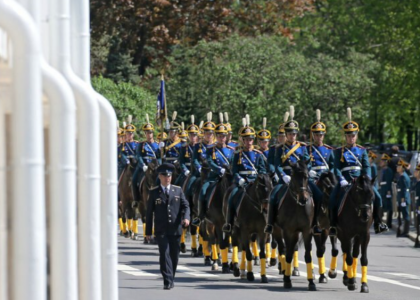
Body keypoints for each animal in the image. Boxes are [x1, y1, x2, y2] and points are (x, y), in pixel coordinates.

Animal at [274, 159, 316, 290]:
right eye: (293, 176)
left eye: (307, 176)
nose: (303, 199)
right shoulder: (288, 231)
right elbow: (287, 254)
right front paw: (287, 280)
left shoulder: (307, 231)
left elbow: (308, 255)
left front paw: (311, 282)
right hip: (277, 230)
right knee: (282, 248)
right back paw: (283, 271)